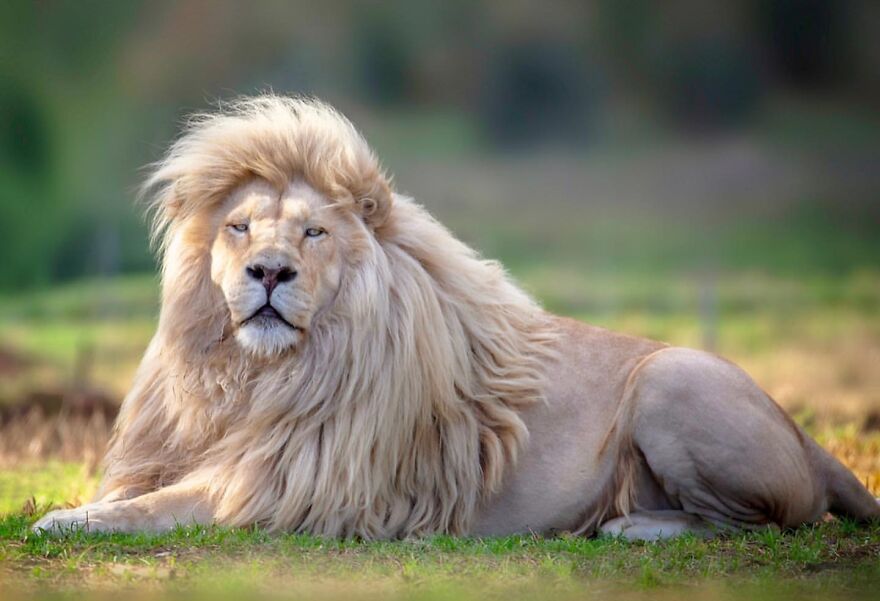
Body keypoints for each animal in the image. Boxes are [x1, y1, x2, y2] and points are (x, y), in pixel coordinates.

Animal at [34, 95, 879, 540]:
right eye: (240, 227)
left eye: (313, 233)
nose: (268, 272)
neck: (252, 374)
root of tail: (807, 436)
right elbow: (136, 493)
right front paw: (73, 506)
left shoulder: (284, 487)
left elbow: (153, 507)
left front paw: (58, 520)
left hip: (673, 376)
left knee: (767, 520)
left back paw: (629, 523)